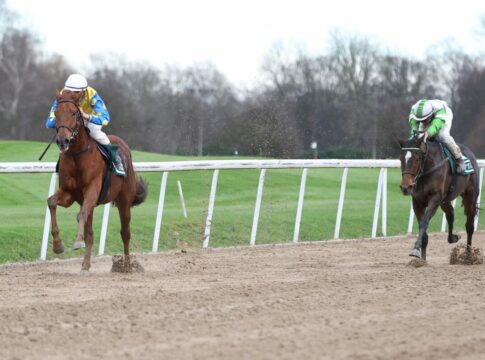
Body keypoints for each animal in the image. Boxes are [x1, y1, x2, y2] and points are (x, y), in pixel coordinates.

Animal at [49, 90, 148, 272]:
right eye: (56, 114)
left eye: (74, 113)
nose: (62, 140)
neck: (77, 154)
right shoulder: (69, 193)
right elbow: (51, 202)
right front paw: (58, 245)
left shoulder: (92, 189)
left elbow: (80, 215)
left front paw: (77, 241)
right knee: (91, 233)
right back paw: (85, 265)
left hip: (124, 200)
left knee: (125, 232)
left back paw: (127, 266)